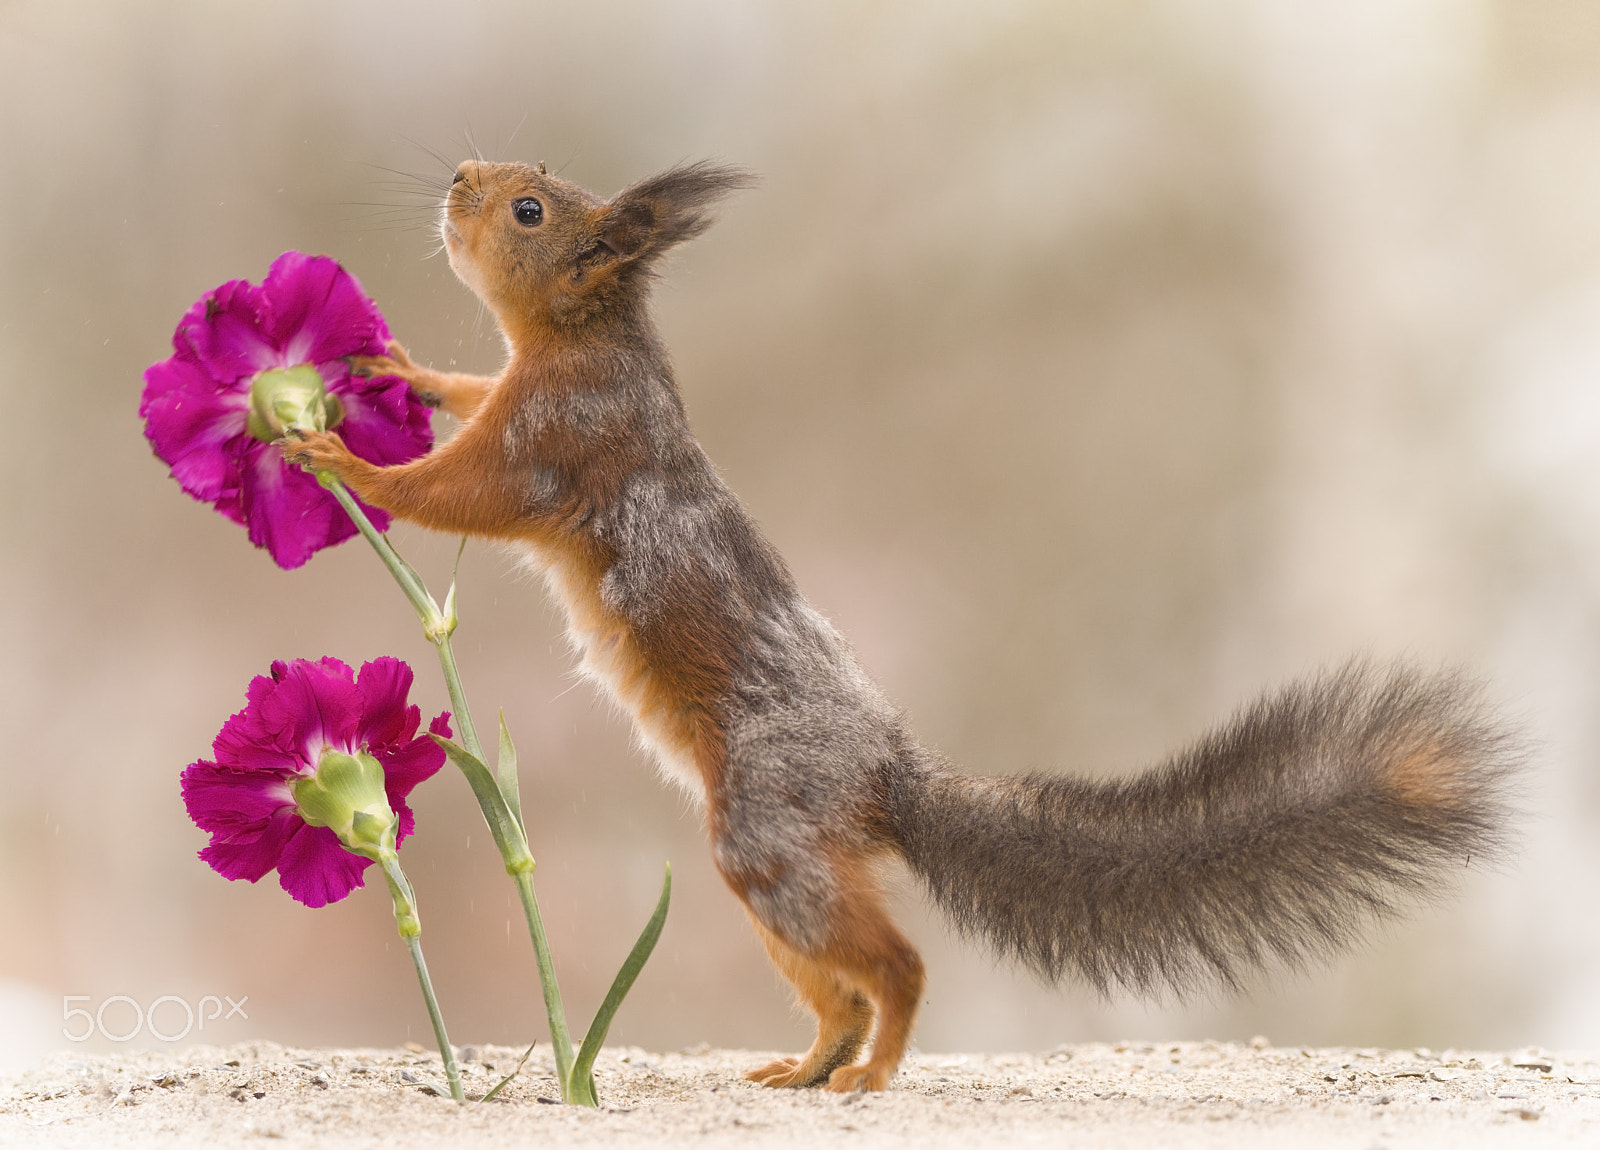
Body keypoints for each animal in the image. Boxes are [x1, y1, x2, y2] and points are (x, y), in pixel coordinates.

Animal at [286, 159, 1519, 1093]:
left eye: (531, 208)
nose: (459, 175)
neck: (587, 336)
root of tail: (887, 772)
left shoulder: (553, 438)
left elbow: (455, 490)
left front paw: (337, 453)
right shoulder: (513, 394)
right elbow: (463, 393)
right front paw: (402, 369)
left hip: (768, 837)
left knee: (901, 964)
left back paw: (873, 1072)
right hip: (784, 868)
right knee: (842, 985)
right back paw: (812, 1064)